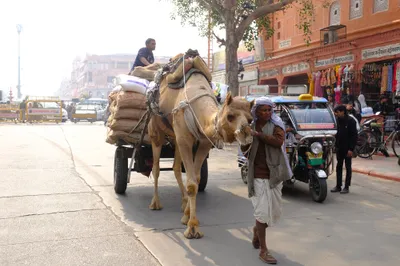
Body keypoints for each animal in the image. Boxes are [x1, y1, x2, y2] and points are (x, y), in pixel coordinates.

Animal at [147, 54, 253, 239]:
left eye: (250, 119)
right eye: (230, 116)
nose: (245, 135)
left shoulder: (203, 142)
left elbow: (195, 179)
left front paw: (187, 216)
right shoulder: (184, 139)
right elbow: (191, 184)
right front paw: (192, 228)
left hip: (176, 137)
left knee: (175, 167)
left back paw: (183, 202)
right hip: (156, 131)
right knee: (156, 167)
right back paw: (155, 203)